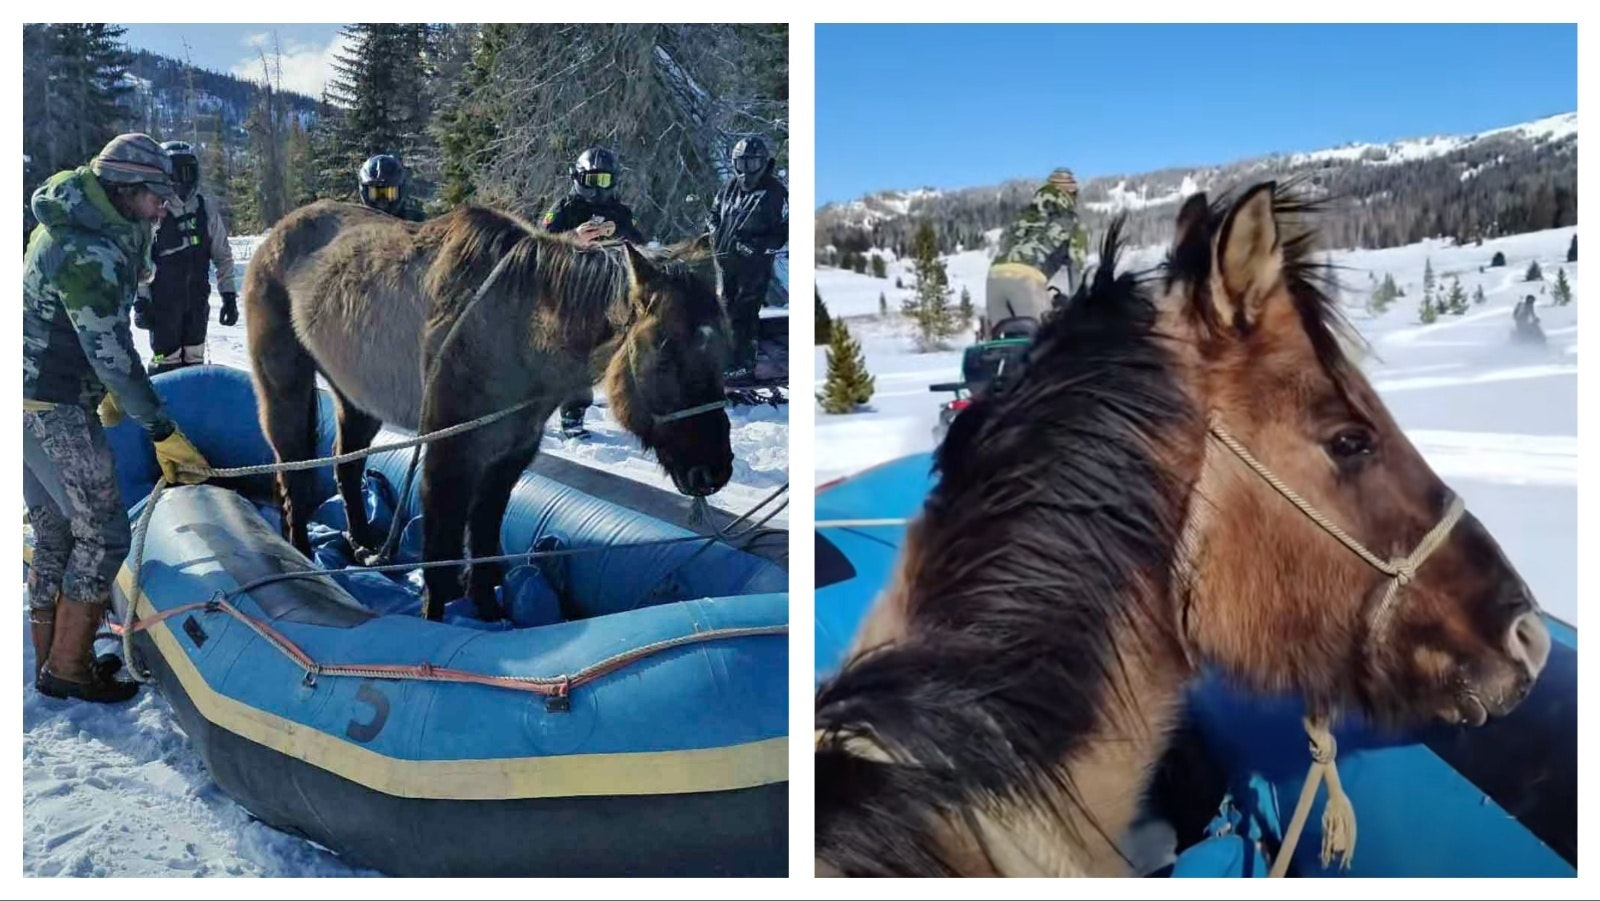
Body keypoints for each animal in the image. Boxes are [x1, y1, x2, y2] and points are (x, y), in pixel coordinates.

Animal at [242, 200, 734, 622]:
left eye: (723, 353)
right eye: (664, 355)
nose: (713, 471)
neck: (514, 332)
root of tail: (277, 235)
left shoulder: (508, 457)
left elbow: (482, 538)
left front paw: (488, 611)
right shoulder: (449, 455)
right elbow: (441, 553)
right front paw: (439, 622)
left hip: (356, 398)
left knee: (346, 467)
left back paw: (364, 547)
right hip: (284, 387)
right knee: (293, 473)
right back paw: (301, 556)